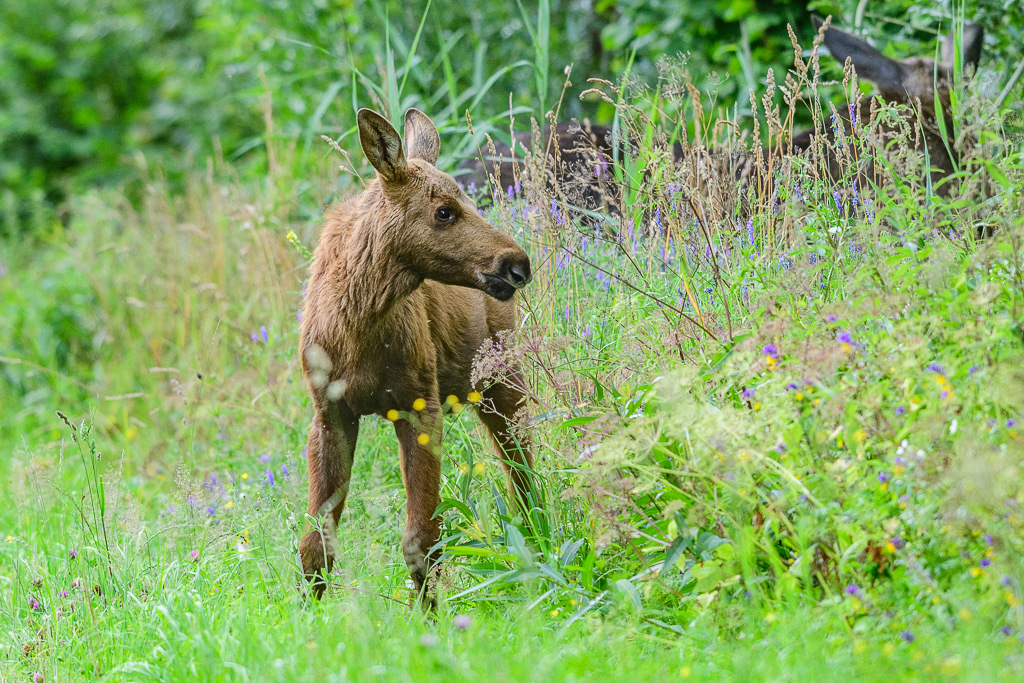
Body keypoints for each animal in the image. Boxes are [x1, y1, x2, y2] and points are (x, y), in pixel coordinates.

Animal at [298, 107, 535, 608]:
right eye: (444, 211)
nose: (517, 264)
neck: (358, 326)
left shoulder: (419, 404)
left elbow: (421, 539)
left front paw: (432, 618)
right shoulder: (329, 412)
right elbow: (316, 543)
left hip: (505, 379)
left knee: (522, 470)